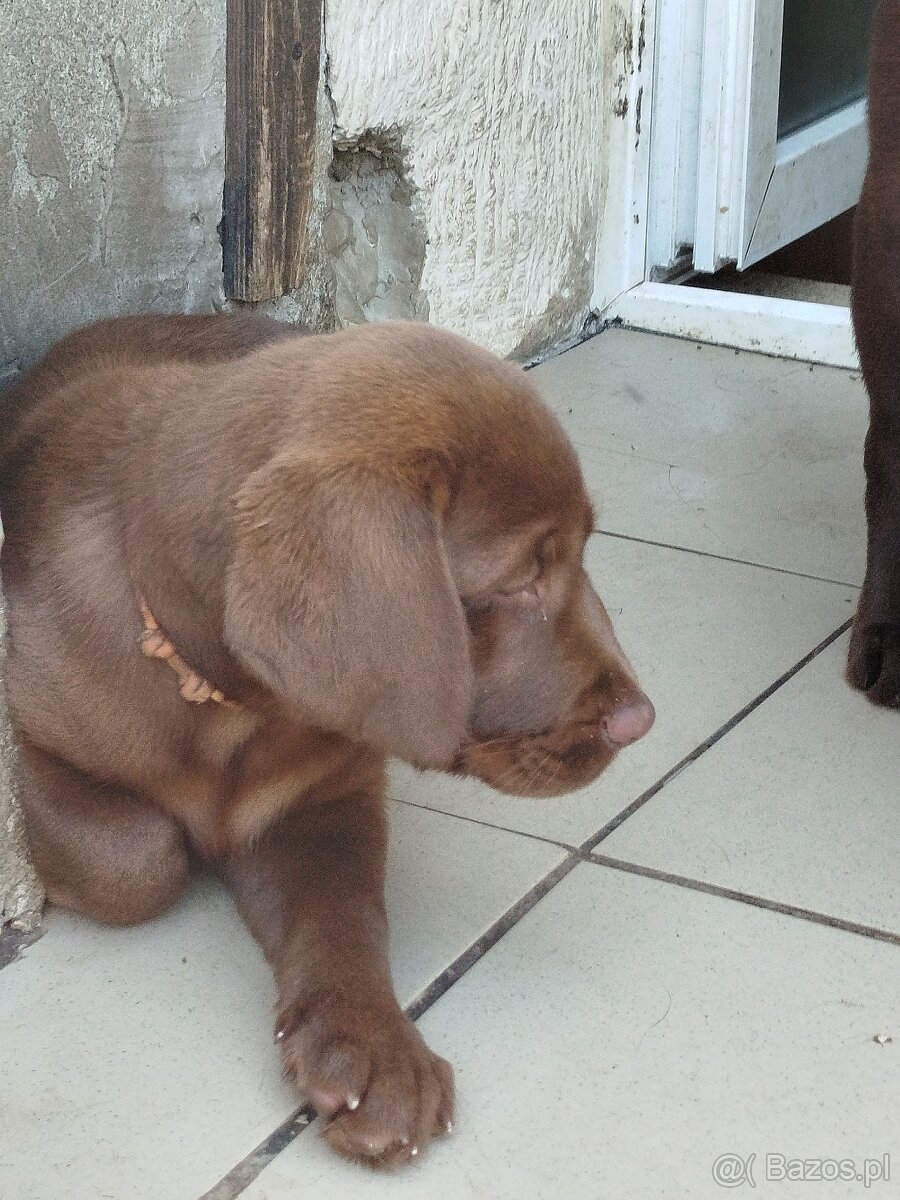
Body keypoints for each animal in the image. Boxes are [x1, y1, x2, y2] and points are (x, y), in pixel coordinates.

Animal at [0, 314, 657, 1166]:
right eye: (519, 580)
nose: (640, 719)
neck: (230, 707)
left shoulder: (325, 799)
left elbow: (347, 916)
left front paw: (374, 1049)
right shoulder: (24, 733)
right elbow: (134, 857)